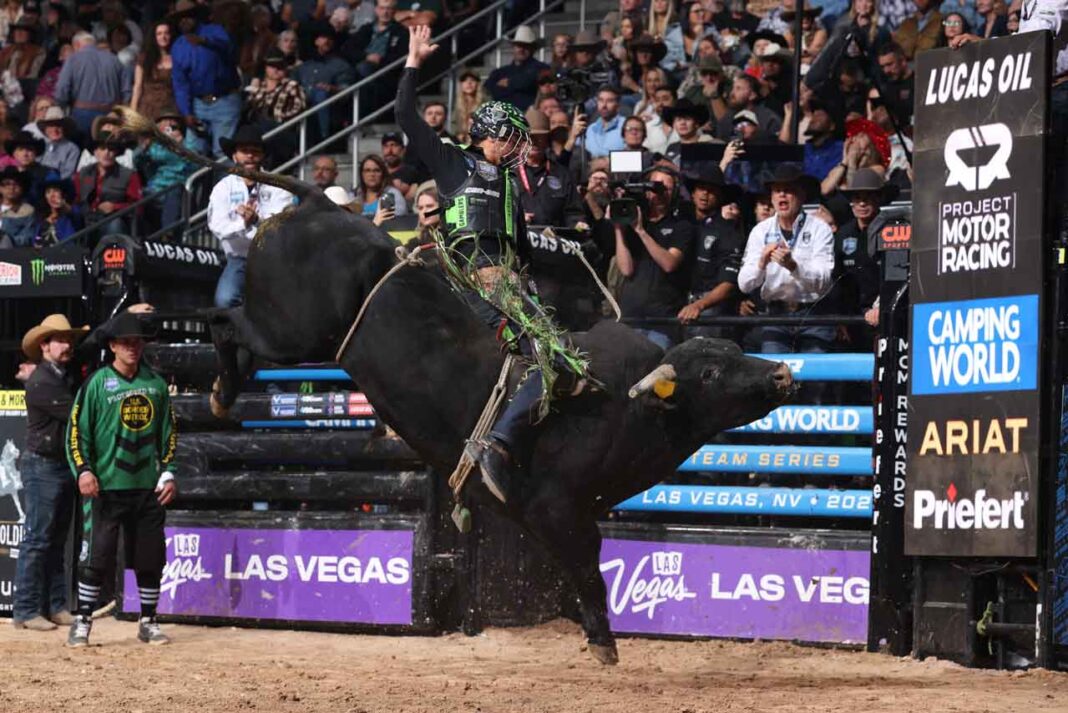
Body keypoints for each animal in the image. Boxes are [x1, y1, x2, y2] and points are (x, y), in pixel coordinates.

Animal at [117, 108, 796, 664]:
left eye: (732, 353)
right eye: (711, 373)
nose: (783, 371)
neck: (627, 411)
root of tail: (320, 203)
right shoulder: (555, 510)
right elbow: (587, 568)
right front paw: (602, 638)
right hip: (289, 332)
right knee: (225, 323)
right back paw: (217, 387)